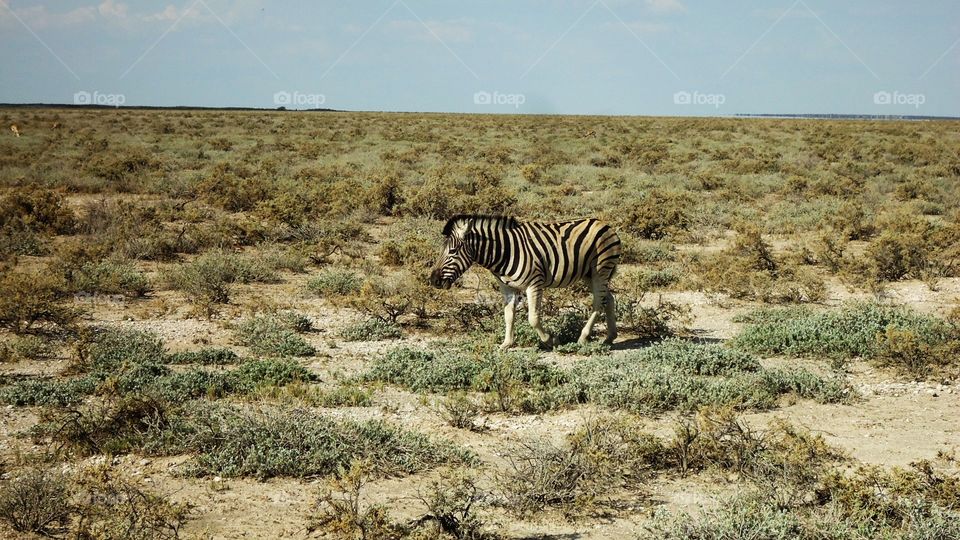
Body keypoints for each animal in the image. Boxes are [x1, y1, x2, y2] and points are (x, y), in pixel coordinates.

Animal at [429, 215, 621, 349]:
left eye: (453, 251)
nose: (433, 280)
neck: (505, 252)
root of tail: (606, 224)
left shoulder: (534, 283)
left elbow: (533, 318)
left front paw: (550, 340)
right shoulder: (506, 287)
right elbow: (508, 315)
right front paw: (506, 343)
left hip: (600, 270)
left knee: (598, 302)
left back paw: (583, 337)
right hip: (588, 275)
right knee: (608, 299)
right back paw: (610, 337)